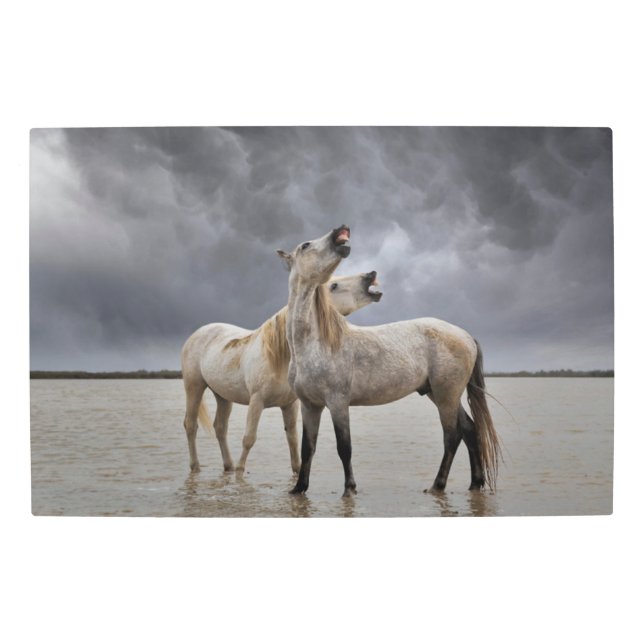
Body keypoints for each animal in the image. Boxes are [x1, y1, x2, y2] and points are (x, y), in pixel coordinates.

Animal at [181, 271, 382, 474]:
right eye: (333, 286)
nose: (369, 275)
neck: (278, 356)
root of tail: (197, 333)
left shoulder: (289, 404)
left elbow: (292, 439)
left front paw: (297, 471)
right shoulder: (257, 401)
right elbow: (249, 438)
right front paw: (240, 470)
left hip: (222, 395)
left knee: (220, 428)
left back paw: (228, 466)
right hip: (194, 386)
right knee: (190, 425)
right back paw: (196, 466)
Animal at [277, 225, 501, 497]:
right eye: (306, 245)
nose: (340, 232)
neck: (314, 345)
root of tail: (465, 335)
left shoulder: (338, 403)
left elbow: (344, 447)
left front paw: (349, 488)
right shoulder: (310, 406)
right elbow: (308, 448)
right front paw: (299, 489)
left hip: (446, 395)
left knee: (452, 435)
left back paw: (437, 485)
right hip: (440, 394)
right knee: (469, 429)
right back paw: (475, 483)